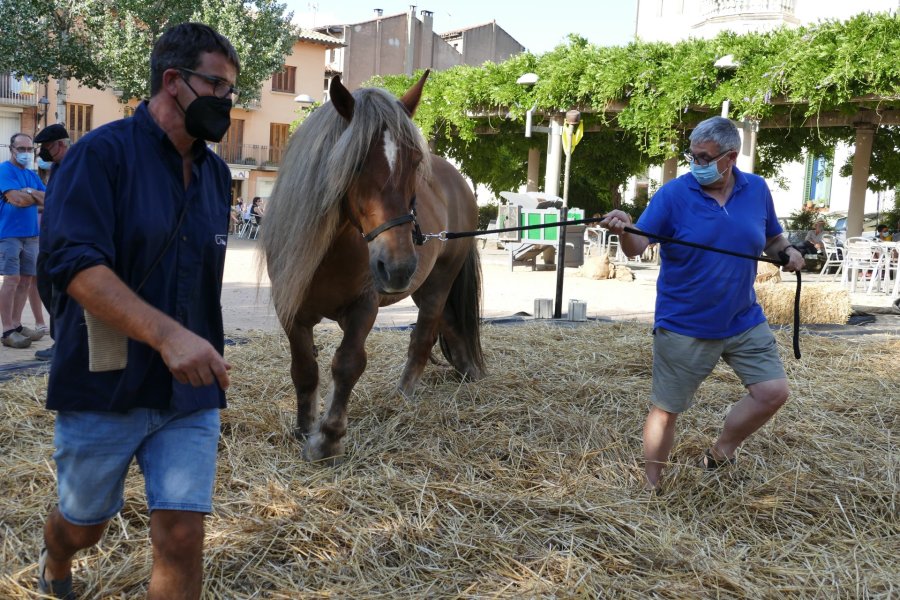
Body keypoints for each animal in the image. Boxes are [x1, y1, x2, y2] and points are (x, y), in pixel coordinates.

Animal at [260, 72, 486, 462]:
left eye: (415, 161)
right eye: (355, 163)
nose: (397, 266)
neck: (330, 250)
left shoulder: (364, 306)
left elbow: (348, 363)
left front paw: (328, 437)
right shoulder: (291, 309)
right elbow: (304, 369)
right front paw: (304, 427)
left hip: (438, 282)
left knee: (423, 336)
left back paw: (404, 394)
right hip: (423, 285)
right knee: (449, 324)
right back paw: (467, 369)